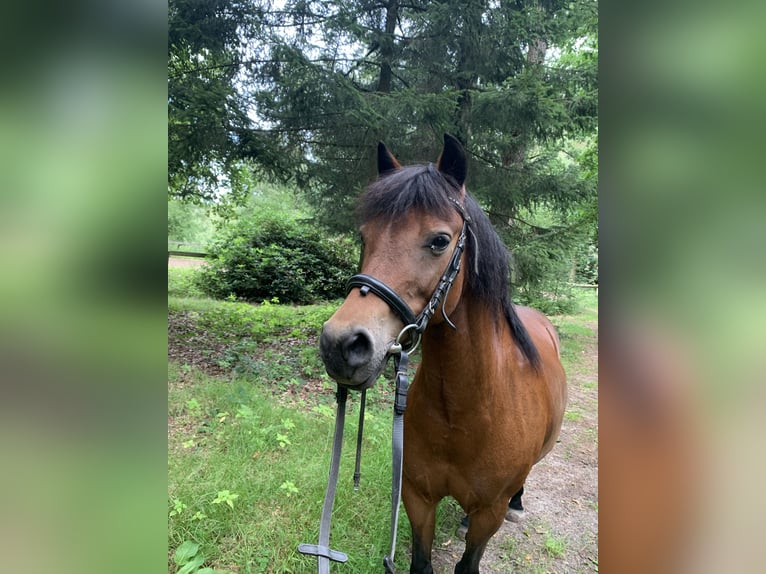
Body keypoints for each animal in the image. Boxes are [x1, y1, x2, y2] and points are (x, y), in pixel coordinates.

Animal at [320, 136, 568, 574]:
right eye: (364, 237)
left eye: (439, 240)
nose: (341, 344)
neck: (467, 411)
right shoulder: (417, 499)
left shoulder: (489, 515)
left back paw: (519, 502)